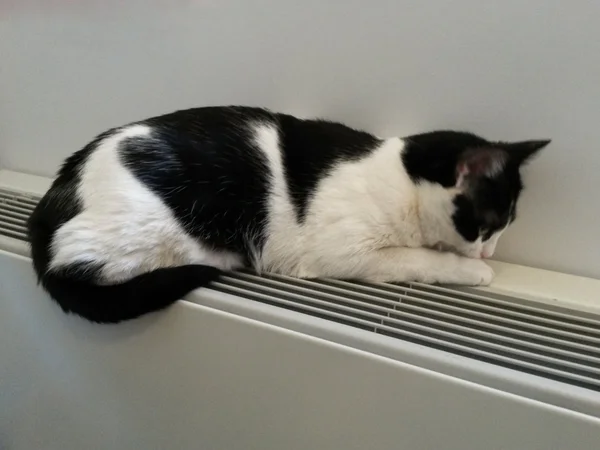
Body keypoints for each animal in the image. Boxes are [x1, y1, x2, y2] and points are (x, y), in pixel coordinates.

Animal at [27, 106, 548, 324]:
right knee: (78, 264)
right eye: (491, 224)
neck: (398, 180)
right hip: (151, 226)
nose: (492, 251)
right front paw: (472, 270)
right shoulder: (343, 252)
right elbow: (419, 259)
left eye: (504, 227)